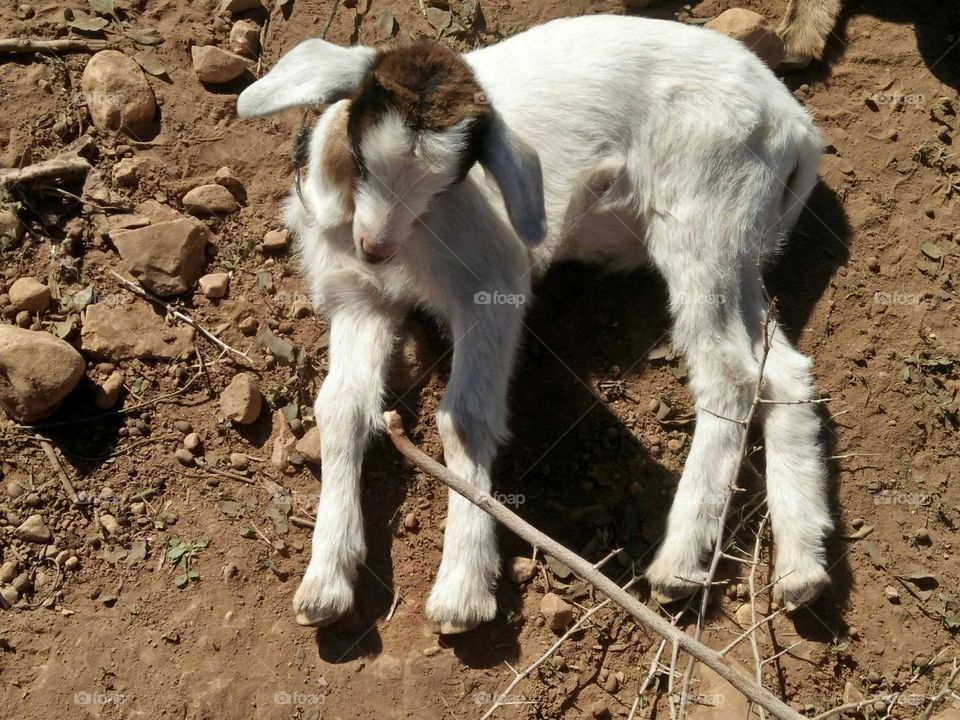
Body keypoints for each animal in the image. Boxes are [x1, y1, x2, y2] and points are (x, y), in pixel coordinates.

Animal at [238, 11, 832, 632]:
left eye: (448, 180)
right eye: (360, 158)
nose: (374, 247)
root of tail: (794, 124)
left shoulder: (491, 290)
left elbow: (464, 417)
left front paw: (462, 592)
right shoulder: (360, 301)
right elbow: (342, 411)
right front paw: (324, 584)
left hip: (701, 219)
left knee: (729, 375)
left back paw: (681, 562)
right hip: (740, 241)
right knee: (781, 371)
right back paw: (801, 568)